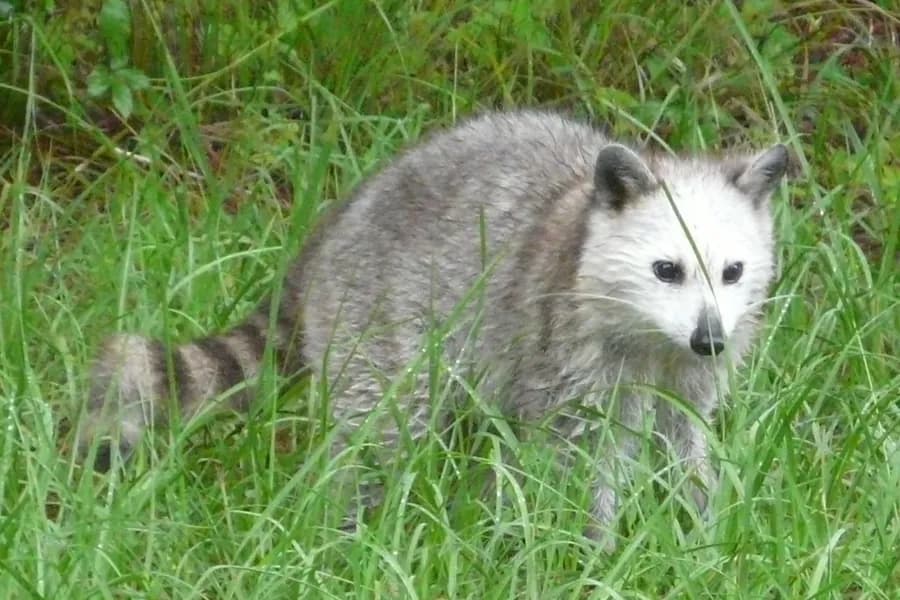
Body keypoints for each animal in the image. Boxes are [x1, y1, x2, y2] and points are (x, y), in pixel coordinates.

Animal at [82, 110, 788, 544]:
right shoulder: (565, 357)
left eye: (733, 271)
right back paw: (352, 529)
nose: (710, 339)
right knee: (386, 431)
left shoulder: (687, 376)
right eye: (666, 270)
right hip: (379, 317)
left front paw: (700, 526)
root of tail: (336, 225)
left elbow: (685, 442)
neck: (656, 340)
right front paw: (594, 546)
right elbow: (581, 461)